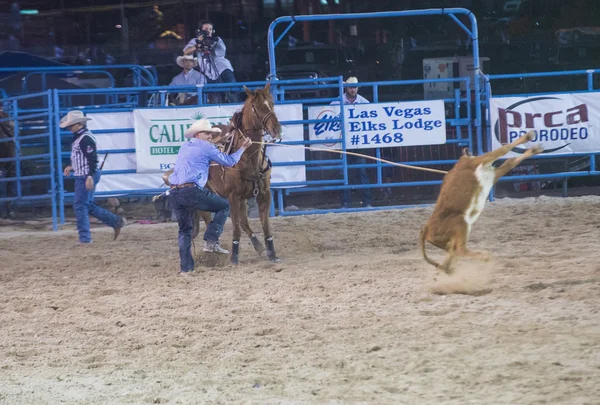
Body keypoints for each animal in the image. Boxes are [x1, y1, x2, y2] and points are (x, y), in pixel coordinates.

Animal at [193, 83, 284, 264]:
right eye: (257, 107)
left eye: (272, 103)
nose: (276, 129)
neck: (248, 157)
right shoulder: (233, 196)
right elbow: (235, 228)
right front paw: (234, 256)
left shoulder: (264, 193)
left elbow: (265, 226)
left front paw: (272, 253)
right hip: (207, 195)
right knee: (209, 219)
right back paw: (213, 247)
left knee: (243, 221)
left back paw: (258, 246)